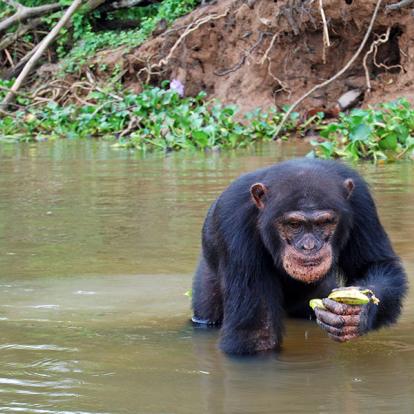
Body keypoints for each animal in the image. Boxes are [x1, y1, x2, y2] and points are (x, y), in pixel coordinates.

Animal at [192, 160, 408, 354]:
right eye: (294, 224)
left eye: (323, 223)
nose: (309, 247)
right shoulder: (234, 221)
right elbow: (258, 333)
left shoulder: (362, 203)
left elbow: (374, 264)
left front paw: (358, 314)